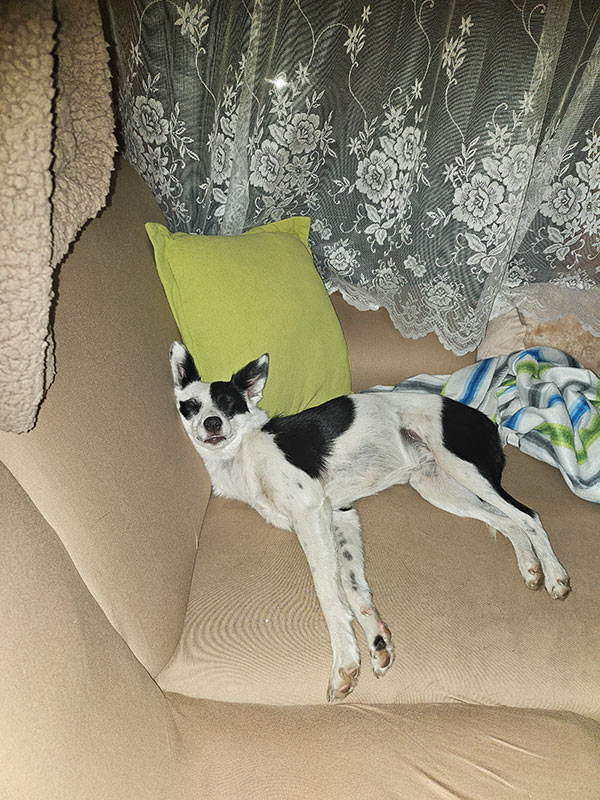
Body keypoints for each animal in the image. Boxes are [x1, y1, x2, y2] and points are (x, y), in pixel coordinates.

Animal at [169, 343, 571, 701]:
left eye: (229, 405)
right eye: (191, 406)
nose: (212, 423)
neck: (245, 452)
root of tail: (487, 419)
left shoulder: (311, 512)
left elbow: (330, 594)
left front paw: (345, 664)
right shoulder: (340, 516)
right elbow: (354, 588)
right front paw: (376, 639)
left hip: (465, 468)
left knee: (528, 516)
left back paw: (555, 576)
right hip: (438, 486)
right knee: (508, 522)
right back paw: (531, 568)